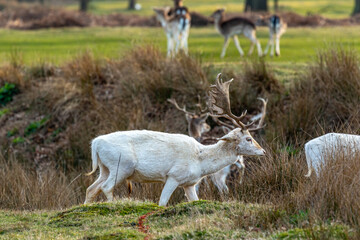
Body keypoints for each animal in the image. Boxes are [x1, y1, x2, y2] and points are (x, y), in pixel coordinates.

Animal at [83, 73, 264, 206]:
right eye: (248, 138)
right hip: (122, 166)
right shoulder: (174, 176)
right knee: (106, 187)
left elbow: (195, 200)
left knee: (91, 188)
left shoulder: (190, 184)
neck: (200, 161)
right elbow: (162, 203)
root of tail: (95, 143)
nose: (263, 151)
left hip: (105, 168)